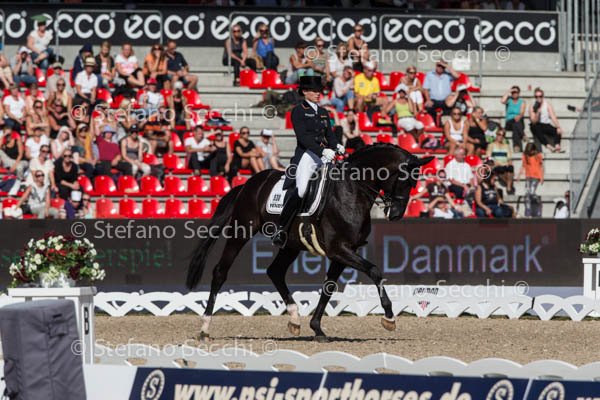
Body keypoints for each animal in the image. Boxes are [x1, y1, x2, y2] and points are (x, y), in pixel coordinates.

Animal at [186, 143, 433, 341]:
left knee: (275, 271)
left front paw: (317, 328)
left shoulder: (344, 252)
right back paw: (205, 327)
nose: (397, 214)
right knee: (220, 272)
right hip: (241, 233)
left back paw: (295, 319)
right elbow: (375, 271)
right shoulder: (339, 249)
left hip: (290, 245)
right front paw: (389, 317)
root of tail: (248, 184)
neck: (352, 189)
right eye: (405, 180)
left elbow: (329, 287)